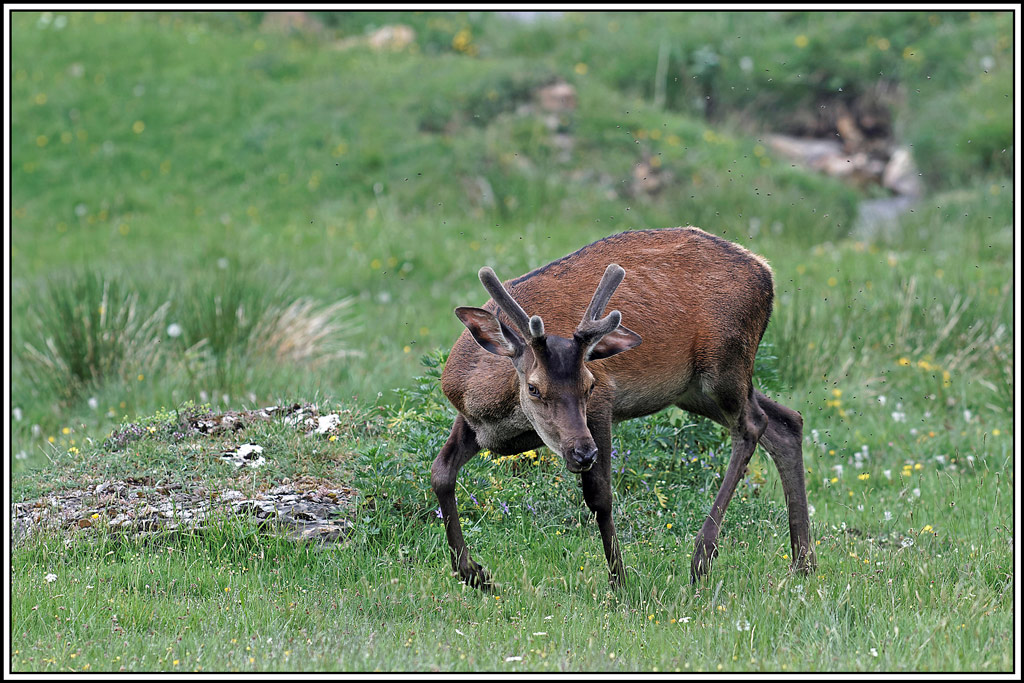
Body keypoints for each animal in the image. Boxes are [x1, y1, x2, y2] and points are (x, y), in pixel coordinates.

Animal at [431, 227, 816, 590]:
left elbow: (600, 496)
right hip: (692, 388)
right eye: (534, 388)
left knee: (752, 423)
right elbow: (441, 473)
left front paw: (620, 584)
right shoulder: (471, 422)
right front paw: (474, 574)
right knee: (786, 421)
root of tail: (765, 270)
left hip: (725, 362)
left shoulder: (603, 404)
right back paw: (803, 564)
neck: (493, 409)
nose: (583, 453)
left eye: (589, 384)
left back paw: (702, 558)